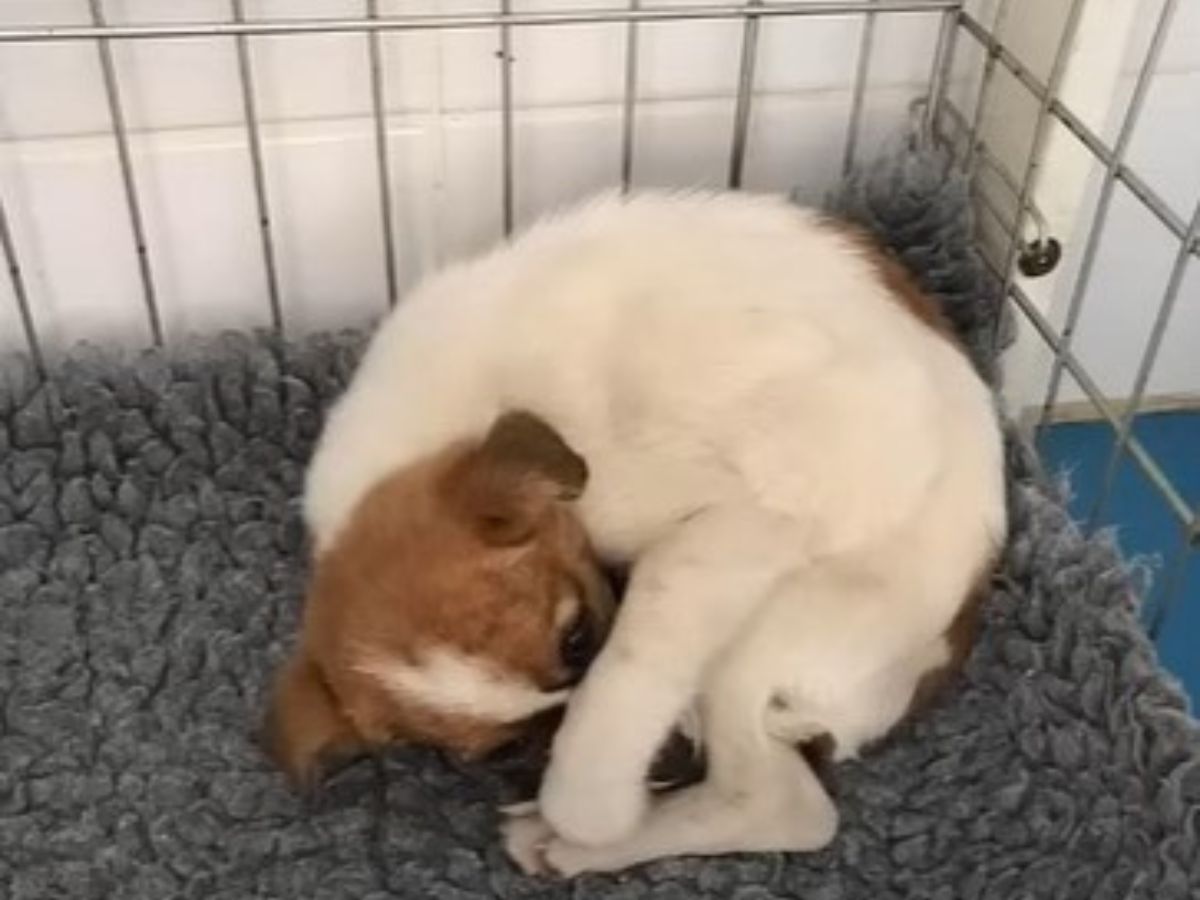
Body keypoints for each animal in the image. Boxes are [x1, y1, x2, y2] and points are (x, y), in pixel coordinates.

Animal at [267, 194, 1008, 878]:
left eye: (577, 636)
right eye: (503, 749)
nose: (674, 760)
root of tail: (945, 642)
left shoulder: (737, 520)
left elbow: (623, 679)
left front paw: (586, 808)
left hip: (763, 639)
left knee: (783, 805)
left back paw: (573, 840)